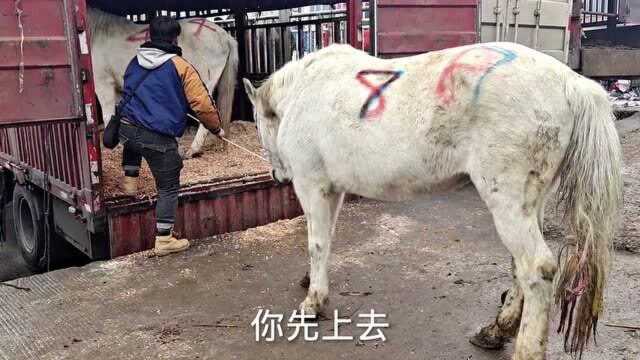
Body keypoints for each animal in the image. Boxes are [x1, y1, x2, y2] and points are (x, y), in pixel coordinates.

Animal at [244, 43, 620, 360]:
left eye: (259, 123)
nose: (277, 175)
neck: (303, 91)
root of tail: (571, 83)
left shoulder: (312, 185)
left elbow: (317, 243)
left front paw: (313, 302)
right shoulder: (332, 190)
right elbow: (327, 239)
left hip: (508, 203)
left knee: (537, 268)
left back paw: (525, 348)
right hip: (529, 203)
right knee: (521, 267)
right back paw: (496, 330)